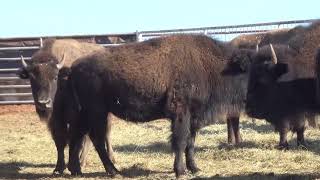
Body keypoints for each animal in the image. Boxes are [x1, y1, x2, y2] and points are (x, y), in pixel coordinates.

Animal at [17, 38, 115, 174]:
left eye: (54, 77)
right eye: (32, 78)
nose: (43, 102)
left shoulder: (76, 118)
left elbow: (75, 140)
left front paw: (75, 168)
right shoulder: (55, 120)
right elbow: (60, 142)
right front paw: (59, 168)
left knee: (106, 133)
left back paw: (107, 158)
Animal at [66, 34, 256, 176]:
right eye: (252, 71)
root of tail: (74, 67)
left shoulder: (194, 117)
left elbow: (190, 142)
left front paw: (194, 168)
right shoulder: (181, 114)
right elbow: (180, 141)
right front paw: (180, 171)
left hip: (85, 112)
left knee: (77, 135)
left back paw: (75, 170)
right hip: (97, 112)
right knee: (95, 138)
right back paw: (113, 171)